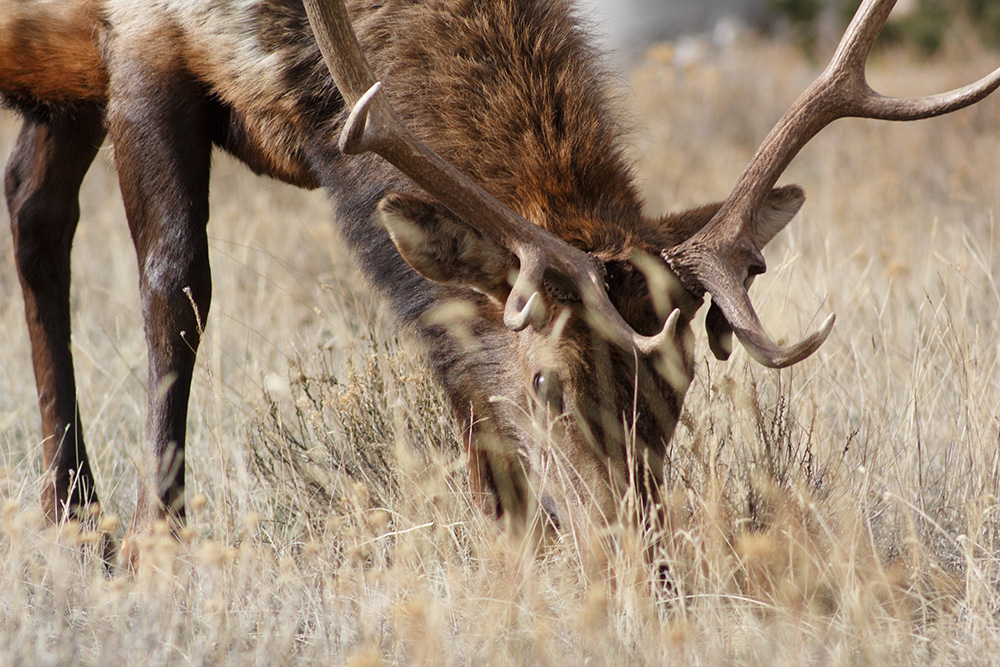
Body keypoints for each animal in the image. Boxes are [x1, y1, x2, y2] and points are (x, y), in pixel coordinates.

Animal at [1, 0, 1000, 564]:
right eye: (549, 385)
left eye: (676, 392)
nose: (642, 562)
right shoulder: (140, 45)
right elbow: (176, 286)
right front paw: (156, 545)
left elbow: (451, 351)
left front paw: (512, 542)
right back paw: (83, 517)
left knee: (32, 206)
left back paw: (66, 513)